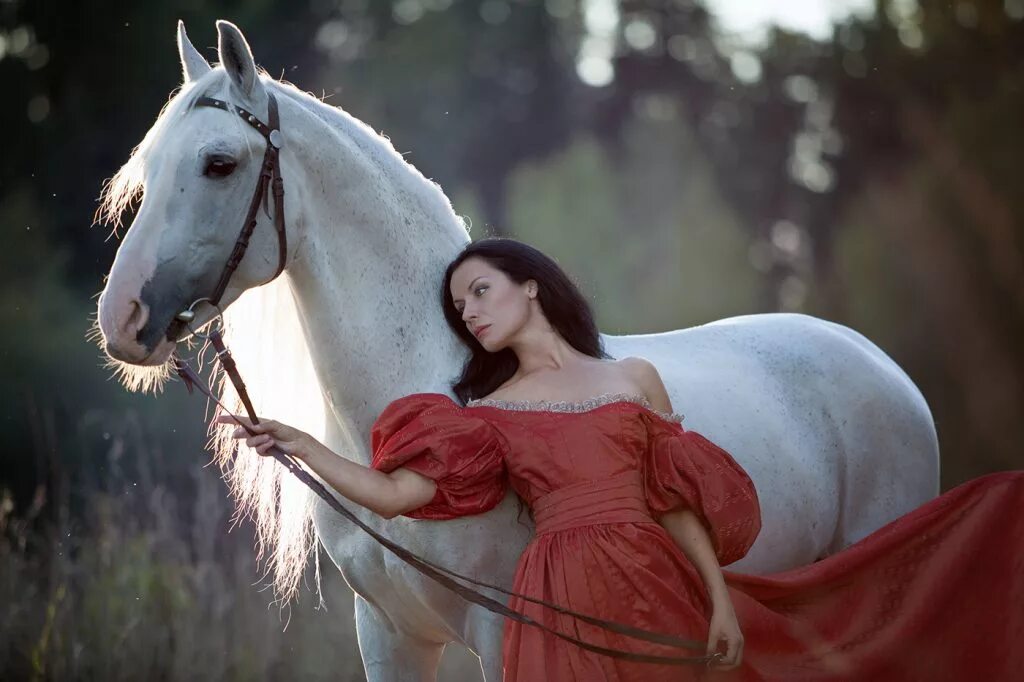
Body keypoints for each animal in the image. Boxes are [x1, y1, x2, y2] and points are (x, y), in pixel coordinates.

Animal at [92, 21, 937, 679]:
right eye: (148, 169)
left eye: (220, 163)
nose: (121, 318)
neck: (424, 386)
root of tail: (877, 363)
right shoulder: (391, 636)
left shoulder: (504, 630)